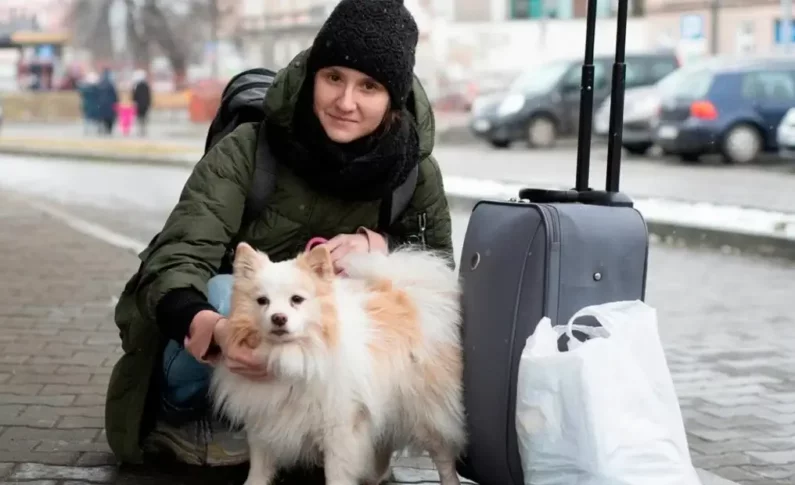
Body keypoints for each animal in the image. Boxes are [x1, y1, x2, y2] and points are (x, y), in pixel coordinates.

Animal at [211, 242, 464, 484]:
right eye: (262, 301)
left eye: (296, 300)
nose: (278, 318)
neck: (291, 357)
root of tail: (405, 294)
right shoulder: (262, 422)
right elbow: (259, 467)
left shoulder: (339, 429)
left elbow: (336, 474)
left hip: (424, 412)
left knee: (443, 456)